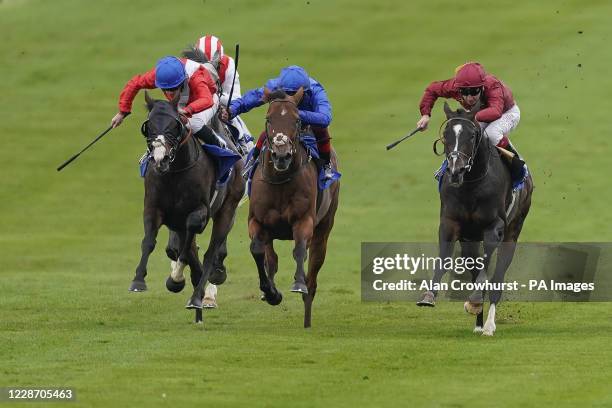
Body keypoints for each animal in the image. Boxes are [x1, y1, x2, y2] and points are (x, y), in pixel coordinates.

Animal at [130, 91, 245, 324]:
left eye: (175, 124)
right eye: (149, 126)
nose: (161, 158)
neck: (175, 172)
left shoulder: (198, 212)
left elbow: (190, 245)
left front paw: (177, 279)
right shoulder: (155, 209)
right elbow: (150, 241)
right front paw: (138, 281)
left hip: (227, 209)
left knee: (211, 253)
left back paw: (197, 297)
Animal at [418, 101, 532, 334]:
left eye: (471, 136)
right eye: (446, 135)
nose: (455, 170)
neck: (472, 185)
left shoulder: (494, 226)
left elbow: (487, 266)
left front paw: (476, 301)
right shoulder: (450, 223)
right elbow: (445, 257)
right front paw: (428, 296)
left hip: (513, 232)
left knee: (497, 278)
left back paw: (488, 325)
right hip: (469, 239)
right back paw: (479, 323)